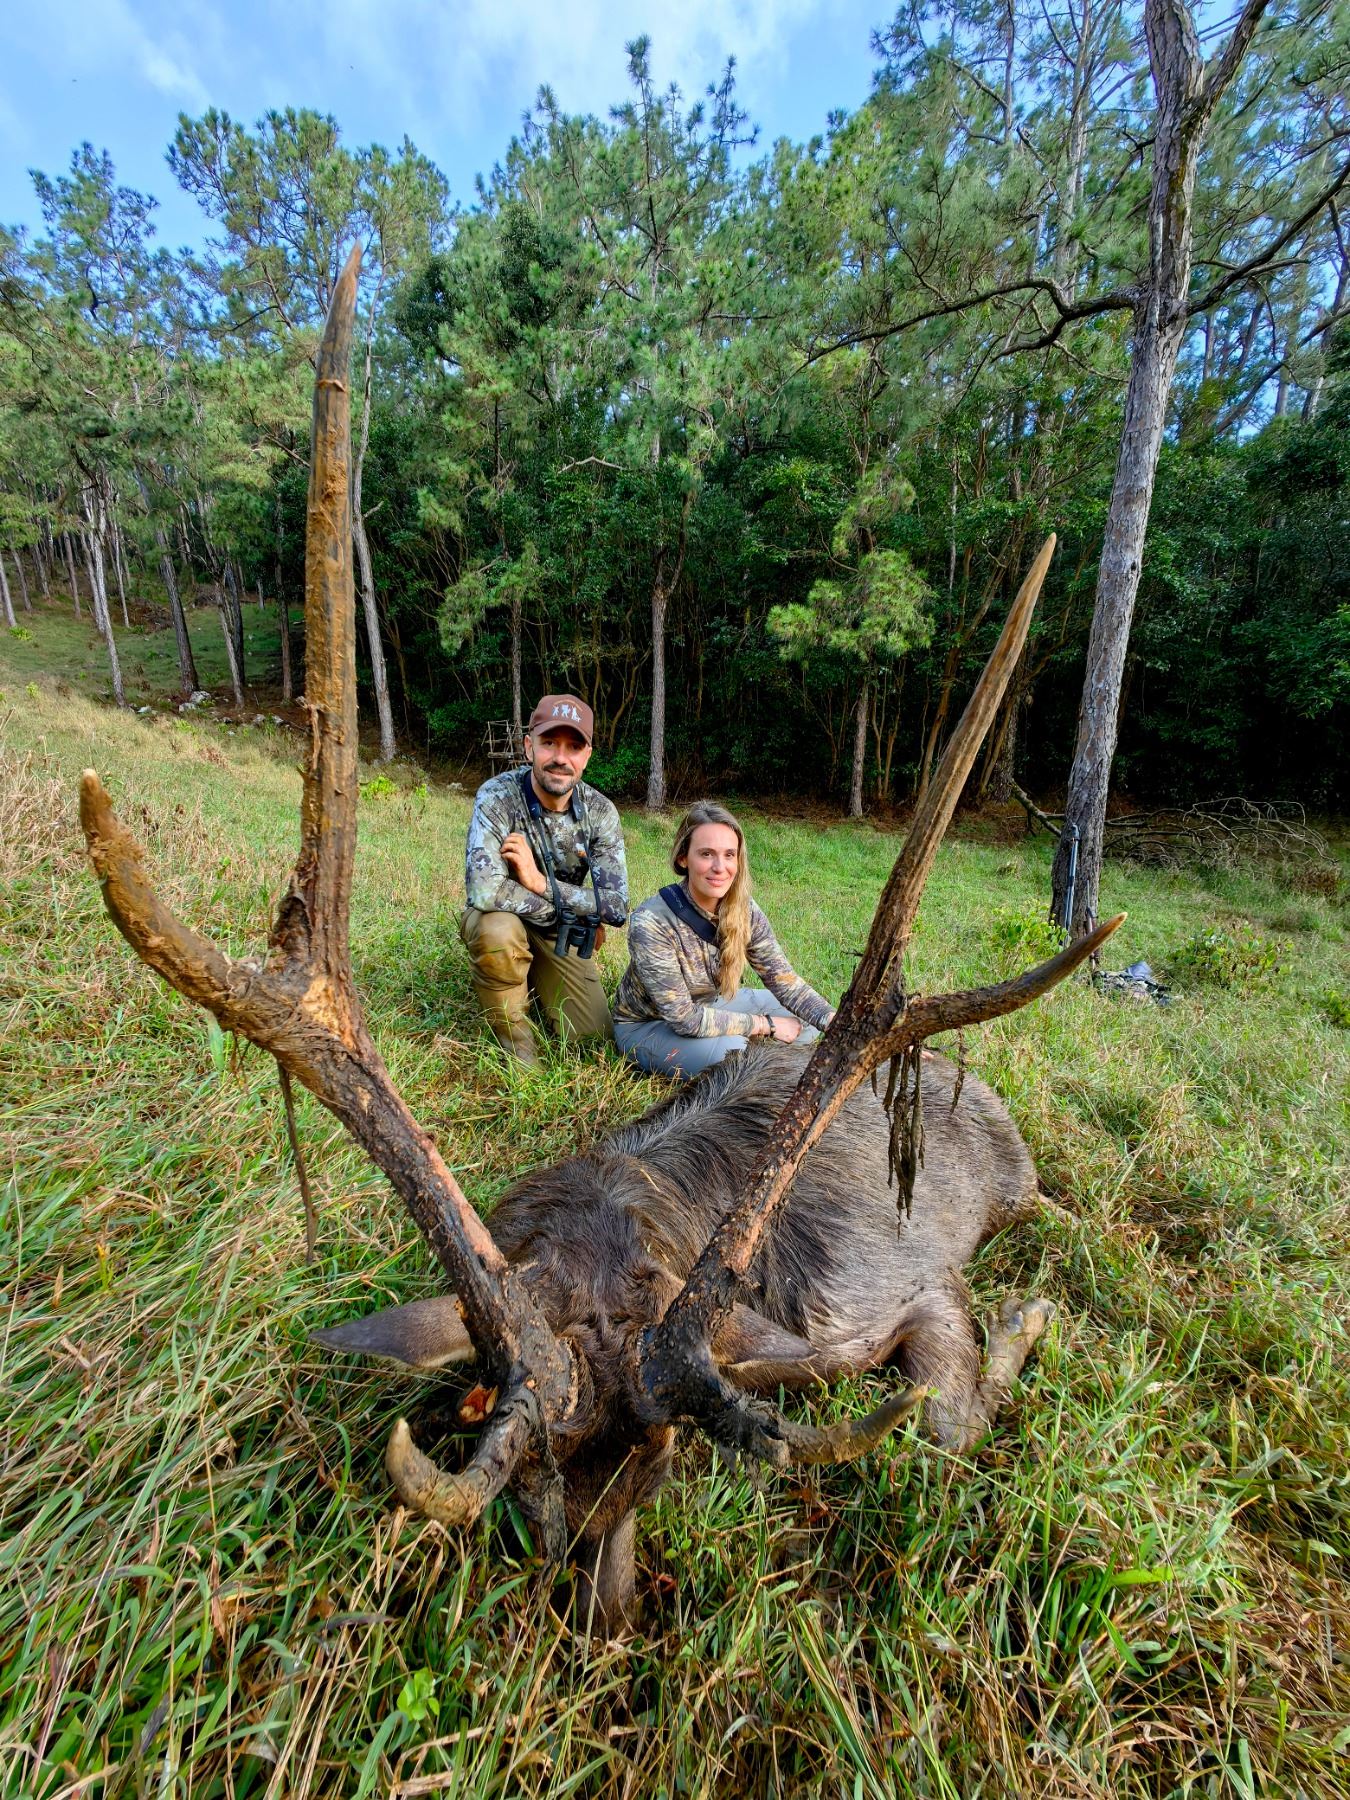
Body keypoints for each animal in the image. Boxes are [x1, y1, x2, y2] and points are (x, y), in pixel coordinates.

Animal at [78, 247, 1122, 1633]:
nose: (608, 1611)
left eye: (657, 1467)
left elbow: (945, 1416)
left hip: (1011, 1173)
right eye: (526, 1488)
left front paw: (1027, 1327)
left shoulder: (896, 1286)